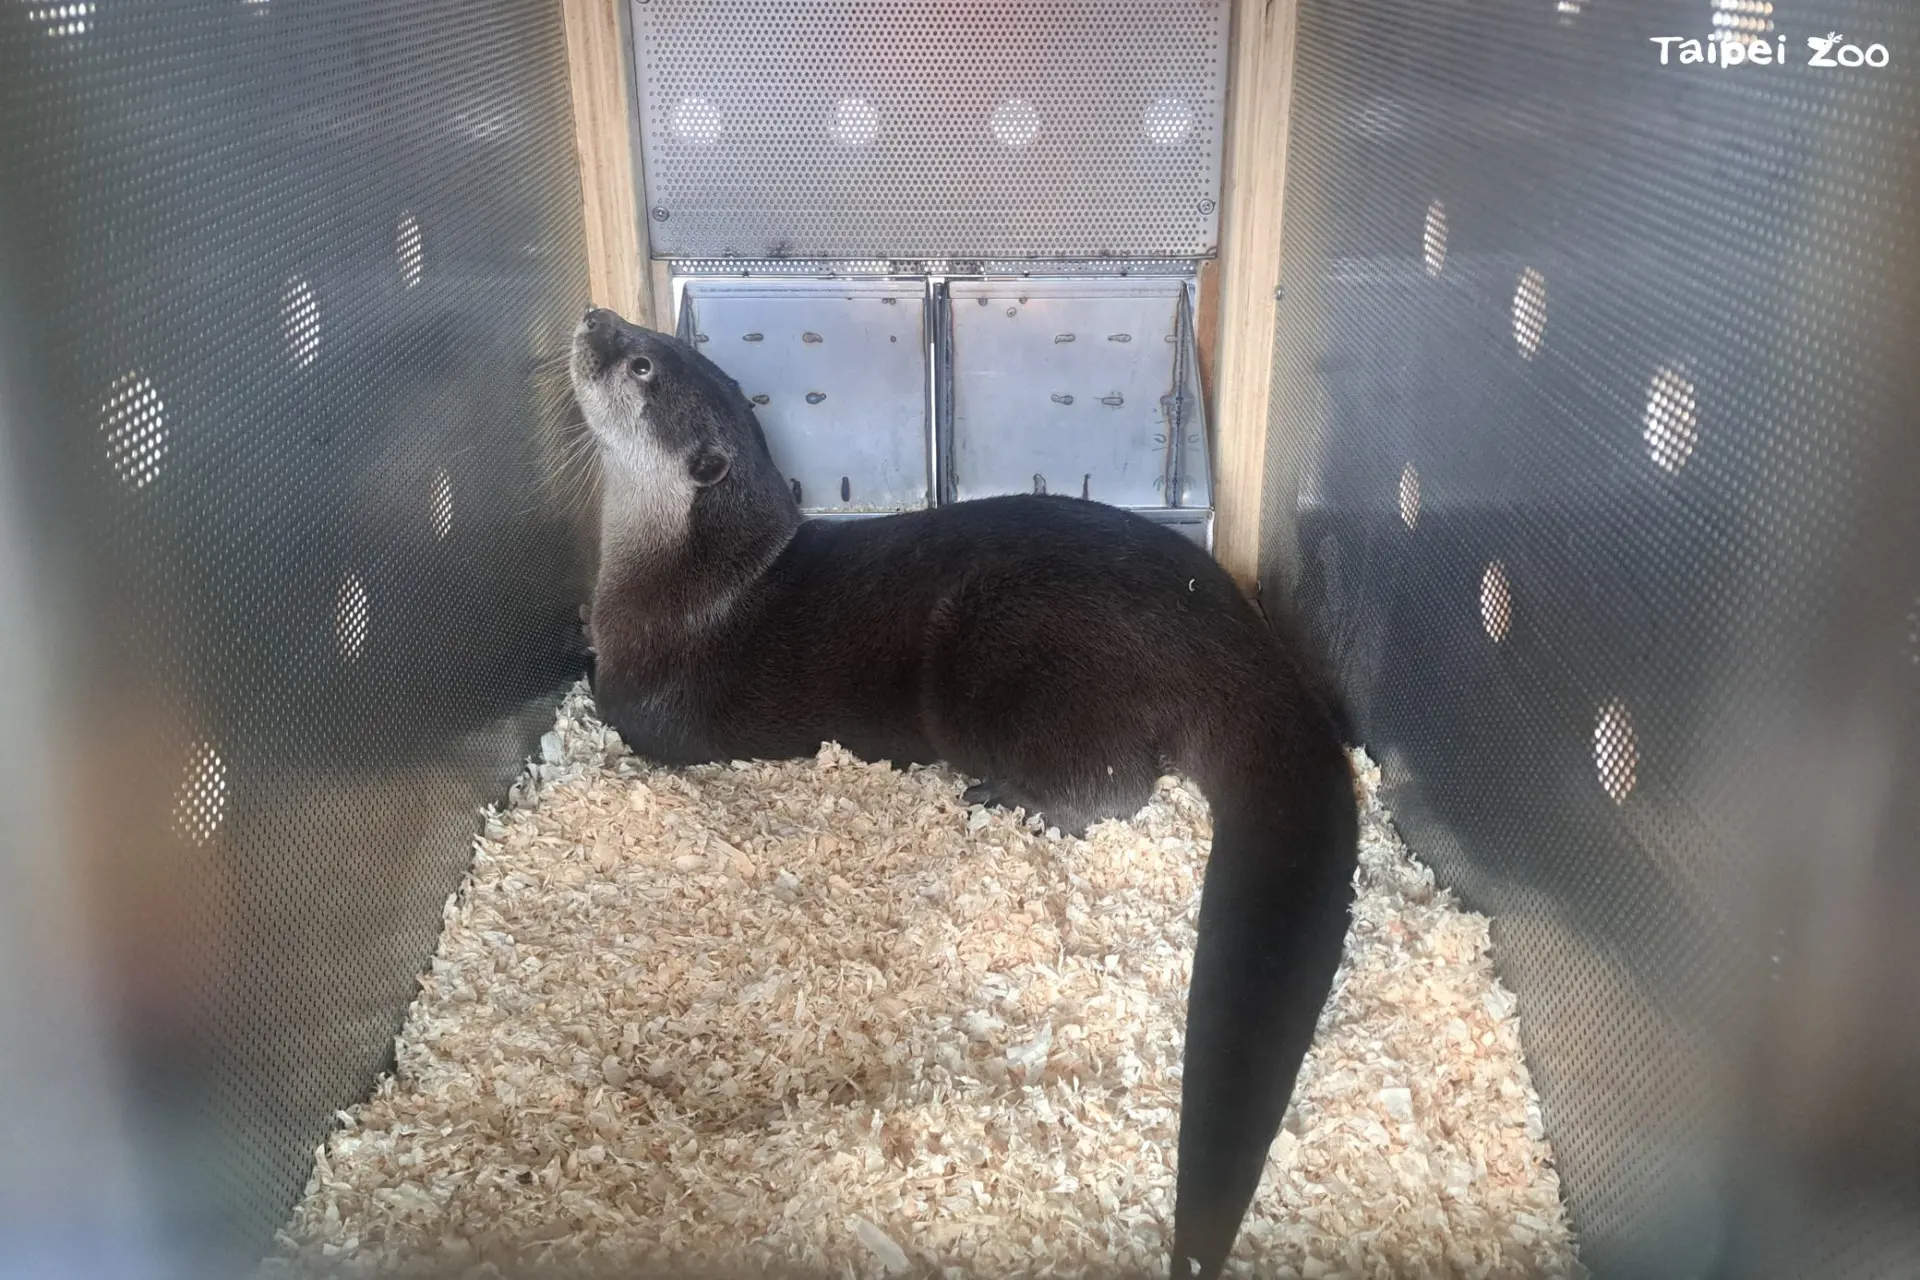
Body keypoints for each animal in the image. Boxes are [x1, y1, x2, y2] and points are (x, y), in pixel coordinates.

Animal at [570, 306, 1358, 1280]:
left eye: (641, 365)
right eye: (649, 338)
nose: (595, 318)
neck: (683, 583)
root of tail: (1227, 636)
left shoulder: (644, 696)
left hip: (995, 661)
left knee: (1112, 782)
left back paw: (1003, 799)